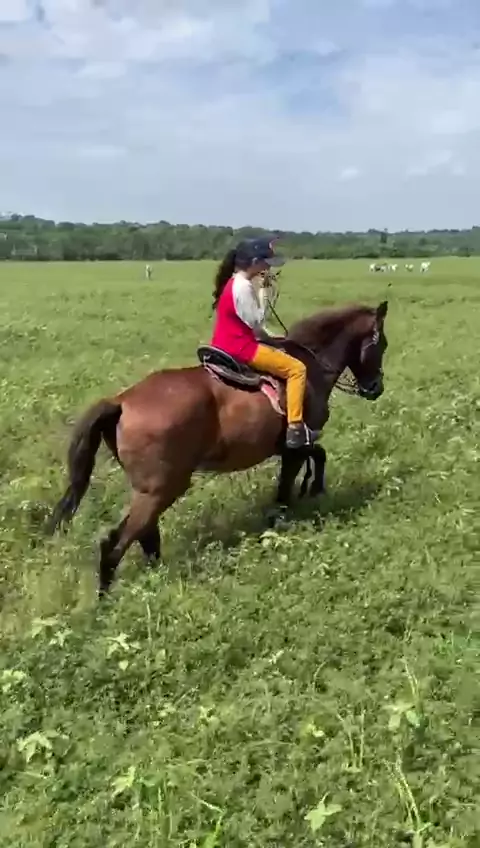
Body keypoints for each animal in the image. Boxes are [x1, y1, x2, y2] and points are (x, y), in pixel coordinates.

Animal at [47, 300, 389, 596]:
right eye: (381, 344)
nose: (376, 388)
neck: (311, 365)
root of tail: (121, 401)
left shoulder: (288, 447)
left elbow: (311, 461)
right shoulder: (296, 444)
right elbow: (301, 472)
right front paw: (305, 495)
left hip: (152, 490)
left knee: (144, 534)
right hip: (162, 488)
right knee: (116, 543)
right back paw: (105, 599)